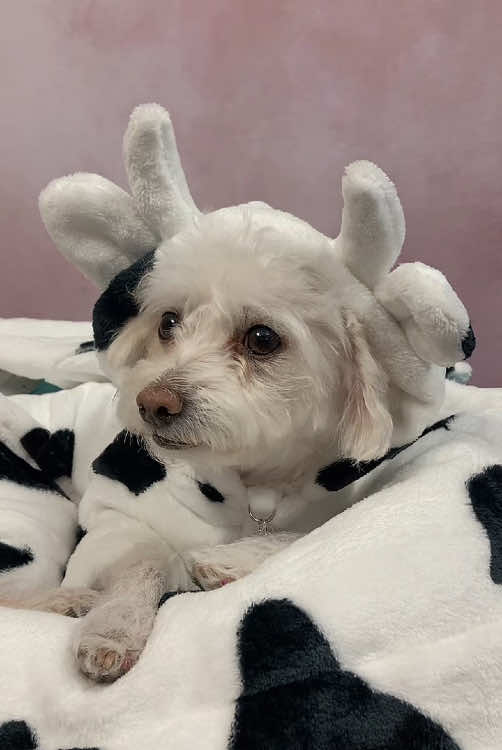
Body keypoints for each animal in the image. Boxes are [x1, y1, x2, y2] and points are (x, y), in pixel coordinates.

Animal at [7, 103, 474, 684]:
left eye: (262, 338)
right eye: (168, 322)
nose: (151, 404)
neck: (258, 480)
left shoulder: (333, 505)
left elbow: (302, 535)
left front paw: (233, 559)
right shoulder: (113, 522)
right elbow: (144, 561)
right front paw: (111, 628)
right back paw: (65, 602)